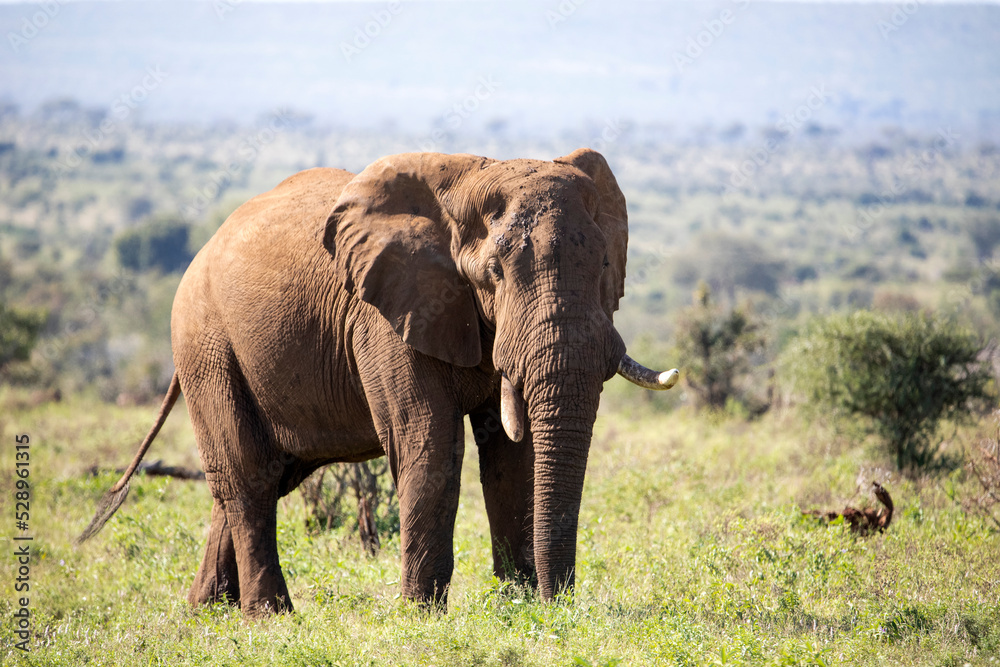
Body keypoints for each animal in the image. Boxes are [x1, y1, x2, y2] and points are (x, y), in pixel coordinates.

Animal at [78, 148, 678, 616]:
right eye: (494, 275)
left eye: (606, 267)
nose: (562, 603)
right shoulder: (386, 317)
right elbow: (428, 443)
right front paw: (421, 616)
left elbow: (513, 455)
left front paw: (520, 605)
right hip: (206, 345)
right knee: (247, 477)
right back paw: (270, 619)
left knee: (260, 477)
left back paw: (207, 611)